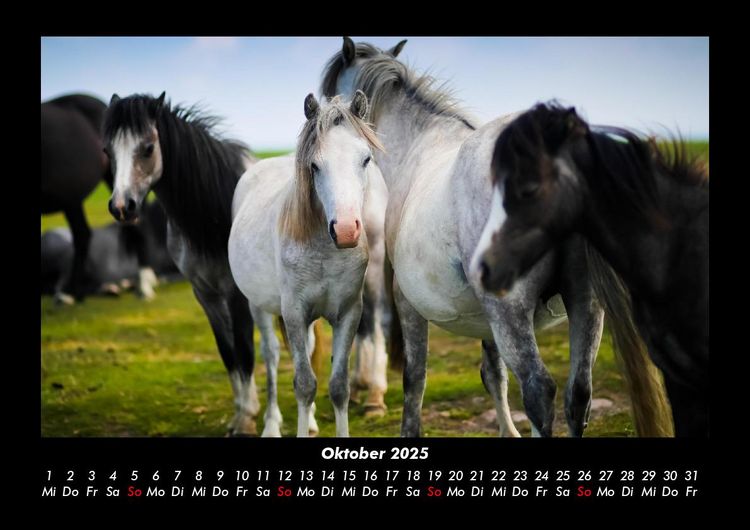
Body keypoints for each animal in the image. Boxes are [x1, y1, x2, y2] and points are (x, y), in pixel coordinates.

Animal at [103, 92, 265, 435]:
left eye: (148, 147)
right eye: (107, 151)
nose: (122, 207)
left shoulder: (236, 296)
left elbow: (245, 351)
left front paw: (246, 419)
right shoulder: (205, 295)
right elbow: (228, 353)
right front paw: (241, 413)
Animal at [228, 92, 385, 437]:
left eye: (366, 159)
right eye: (314, 165)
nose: (345, 230)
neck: (325, 252)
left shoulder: (348, 313)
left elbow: (338, 386)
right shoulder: (294, 314)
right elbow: (304, 384)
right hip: (259, 307)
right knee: (272, 357)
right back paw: (271, 425)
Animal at [320, 37, 668, 438]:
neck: (419, 144)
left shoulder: (408, 302)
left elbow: (414, 378)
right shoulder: (484, 316)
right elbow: (493, 375)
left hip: (511, 311)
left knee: (538, 391)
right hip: (585, 303)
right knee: (578, 393)